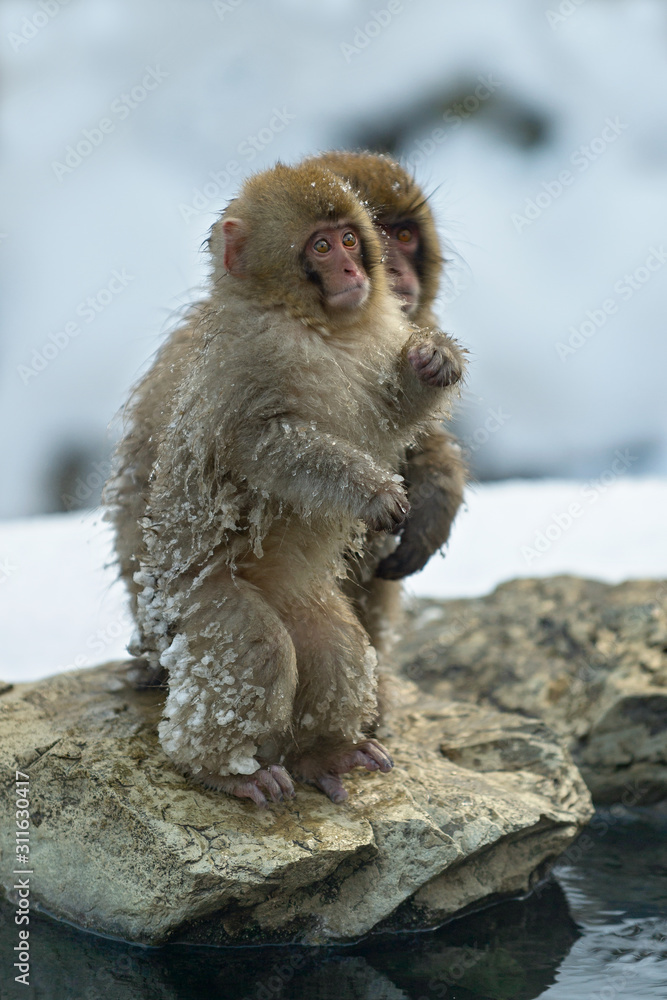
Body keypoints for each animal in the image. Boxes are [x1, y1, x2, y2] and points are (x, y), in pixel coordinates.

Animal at [104, 161, 465, 806]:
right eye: (320, 248)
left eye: (350, 239)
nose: (354, 271)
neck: (318, 327)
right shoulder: (247, 362)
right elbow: (268, 443)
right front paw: (373, 491)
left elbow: (391, 414)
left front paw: (432, 361)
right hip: (193, 603)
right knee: (256, 651)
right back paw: (221, 768)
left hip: (305, 599)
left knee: (337, 648)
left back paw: (324, 751)